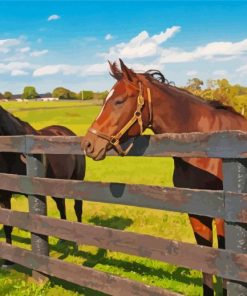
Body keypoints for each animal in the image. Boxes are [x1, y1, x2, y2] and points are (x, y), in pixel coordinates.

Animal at [0, 105, 85, 264]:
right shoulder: (3, 195)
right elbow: (7, 224)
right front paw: (8, 261)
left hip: (77, 181)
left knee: (77, 208)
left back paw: (78, 244)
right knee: (61, 206)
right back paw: (63, 239)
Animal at [82, 59, 247, 294]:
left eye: (119, 101)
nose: (88, 144)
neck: (204, 146)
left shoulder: (223, 217)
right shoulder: (197, 213)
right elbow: (205, 260)